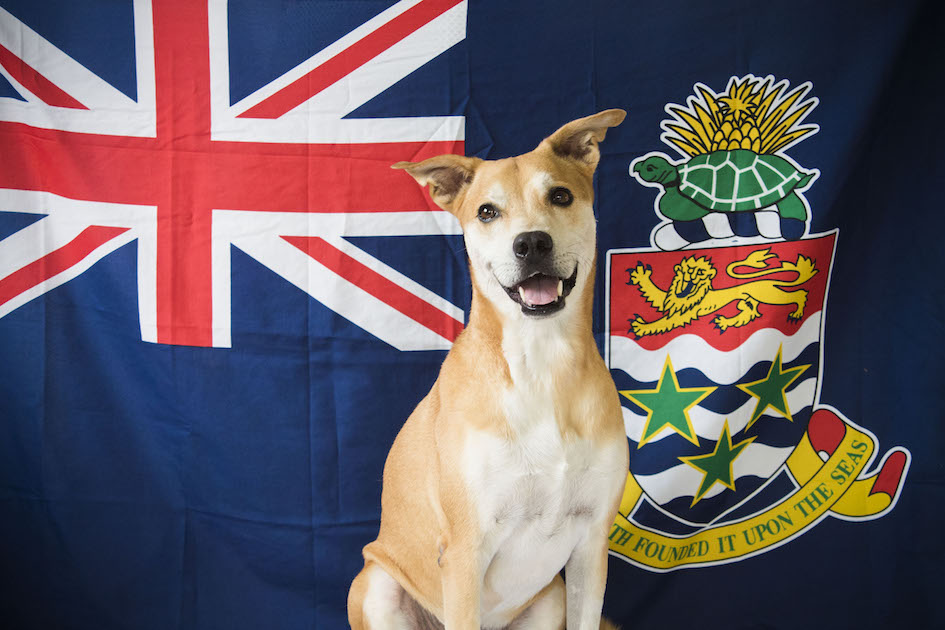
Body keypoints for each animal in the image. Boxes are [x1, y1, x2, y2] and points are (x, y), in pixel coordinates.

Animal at [346, 111, 628, 628]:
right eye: (487, 212)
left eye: (561, 195)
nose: (532, 242)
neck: (542, 364)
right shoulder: (465, 550)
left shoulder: (592, 546)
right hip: (376, 584)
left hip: (551, 598)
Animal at [624, 249, 816, 338]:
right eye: (687, 269)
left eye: (701, 272)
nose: (691, 274)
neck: (687, 296)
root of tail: (771, 280)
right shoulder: (667, 300)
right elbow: (653, 292)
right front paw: (641, 276)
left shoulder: (682, 315)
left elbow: (661, 323)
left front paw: (641, 327)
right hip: (747, 301)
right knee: (749, 313)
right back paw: (725, 321)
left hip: (769, 296)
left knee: (800, 293)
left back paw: (796, 313)